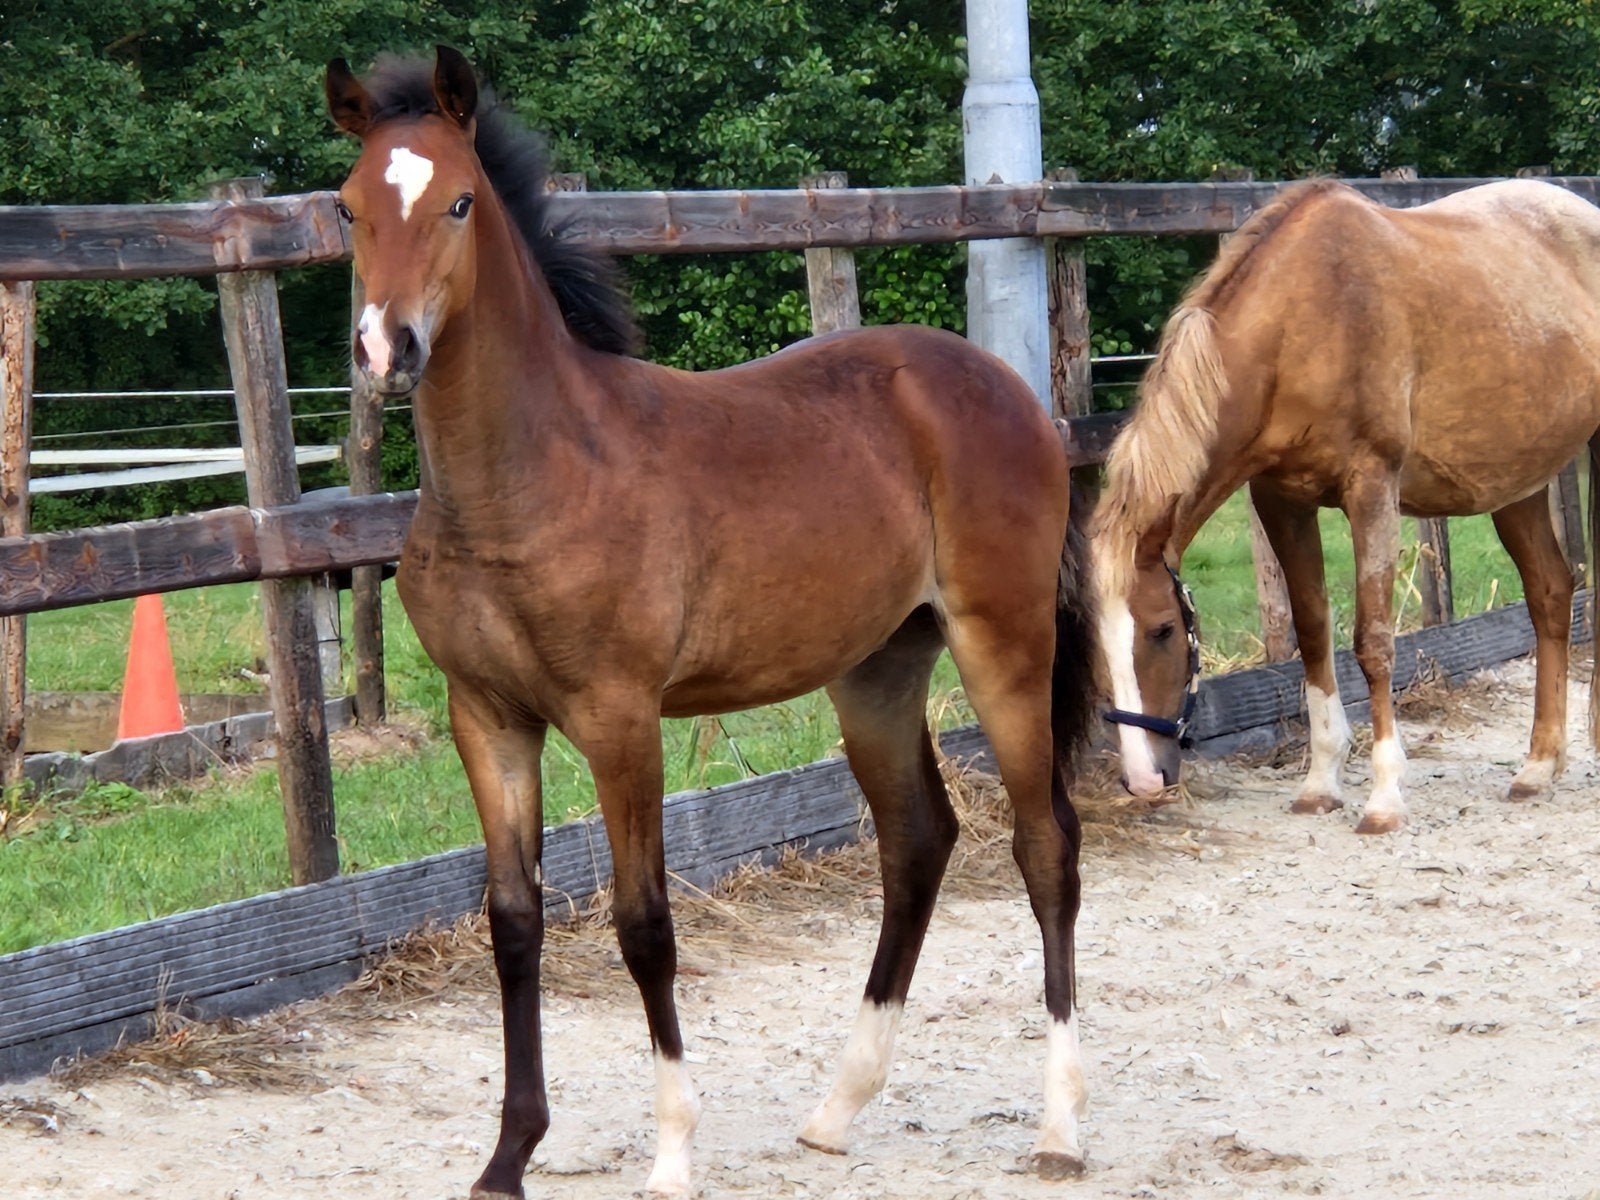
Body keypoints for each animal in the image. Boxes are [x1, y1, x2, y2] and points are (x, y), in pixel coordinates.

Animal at [324, 46, 1100, 1197]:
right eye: (347, 207)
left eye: (459, 201)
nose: (388, 347)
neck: (525, 478)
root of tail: (1011, 392)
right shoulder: (488, 717)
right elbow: (514, 922)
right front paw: (508, 1157)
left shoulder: (619, 717)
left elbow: (644, 924)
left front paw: (673, 1153)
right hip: (876, 670)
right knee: (917, 841)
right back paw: (836, 1109)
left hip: (1002, 644)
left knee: (1046, 843)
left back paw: (1057, 1127)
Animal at [1091, 177, 1600, 835]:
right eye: (1096, 642)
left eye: (1162, 630)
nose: (1144, 781)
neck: (1305, 324)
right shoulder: (1281, 501)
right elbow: (1312, 633)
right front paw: (1320, 783)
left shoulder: (1372, 490)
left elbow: (1373, 643)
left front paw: (1384, 797)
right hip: (1517, 480)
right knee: (1550, 593)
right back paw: (1539, 766)